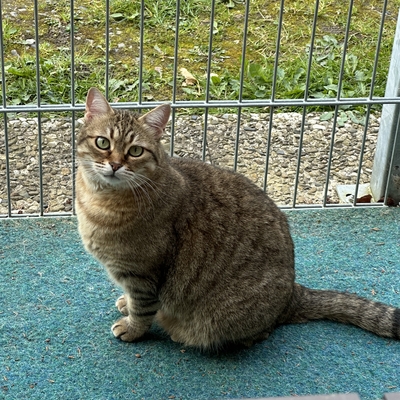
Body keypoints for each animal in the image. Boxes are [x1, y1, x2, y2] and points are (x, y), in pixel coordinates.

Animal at [76, 88, 400, 350]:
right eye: (103, 143)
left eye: (135, 151)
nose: (114, 165)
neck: (101, 201)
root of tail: (293, 294)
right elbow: (133, 301)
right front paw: (125, 304)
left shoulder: (144, 275)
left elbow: (142, 308)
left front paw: (133, 329)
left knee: (254, 335)